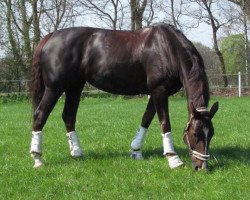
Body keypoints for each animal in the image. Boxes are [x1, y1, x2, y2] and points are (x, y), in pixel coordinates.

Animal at [30, 23, 219, 170]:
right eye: (195, 133)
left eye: (211, 133)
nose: (201, 167)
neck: (167, 48)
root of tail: (51, 36)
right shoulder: (159, 91)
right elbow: (164, 122)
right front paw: (173, 158)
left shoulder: (154, 93)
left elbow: (146, 119)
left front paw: (136, 151)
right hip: (54, 88)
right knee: (40, 115)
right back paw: (37, 158)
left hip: (74, 87)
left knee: (68, 116)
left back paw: (77, 153)